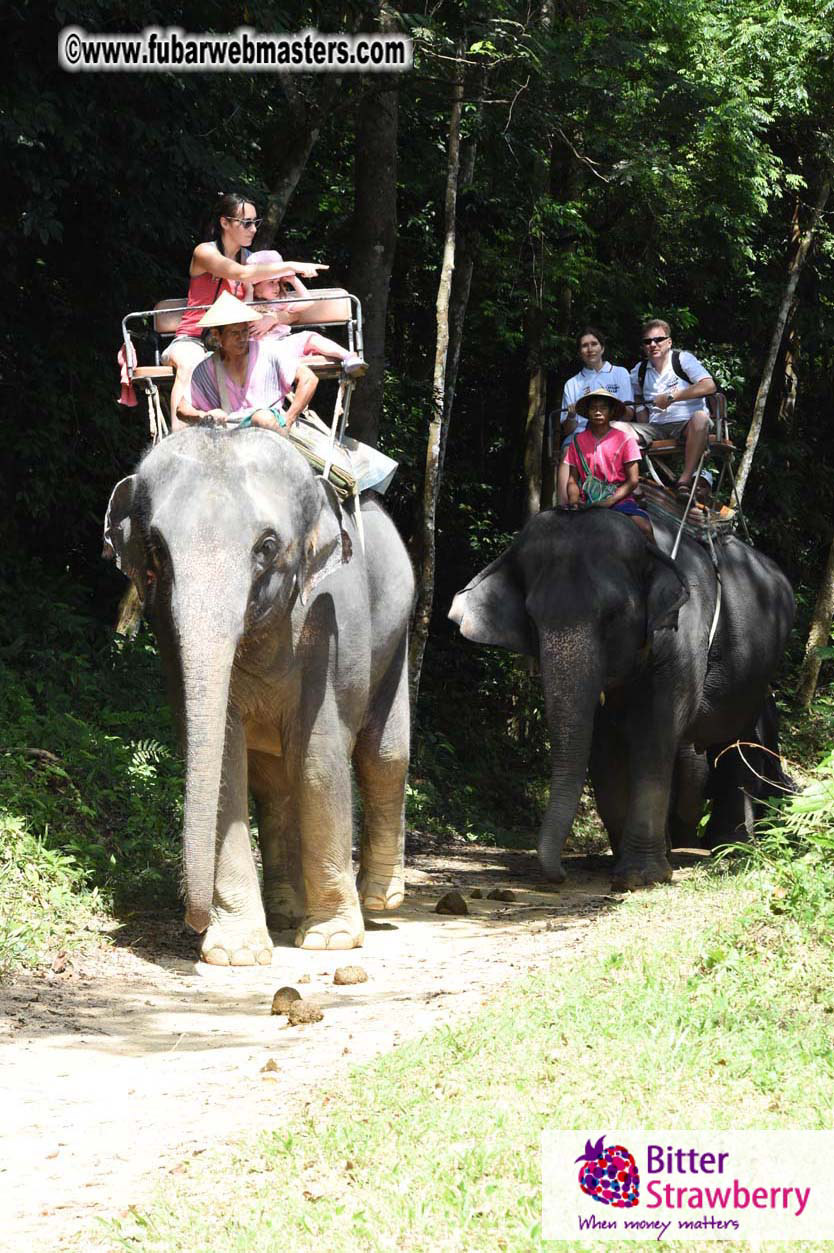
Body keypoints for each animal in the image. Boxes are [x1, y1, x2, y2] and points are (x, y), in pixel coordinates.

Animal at [104, 424, 414, 962]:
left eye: (266, 546)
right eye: (157, 549)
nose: (191, 921)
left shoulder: (328, 623)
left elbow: (318, 760)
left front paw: (330, 940)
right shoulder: (168, 632)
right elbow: (228, 763)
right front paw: (235, 952)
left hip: (397, 633)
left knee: (384, 756)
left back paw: (379, 900)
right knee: (274, 783)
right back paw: (287, 912)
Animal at [449, 507, 794, 891]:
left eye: (612, 615)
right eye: (532, 619)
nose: (560, 875)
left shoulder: (683, 635)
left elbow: (655, 732)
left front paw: (640, 877)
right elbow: (603, 745)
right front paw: (620, 865)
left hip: (757, 674)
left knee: (738, 738)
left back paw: (731, 849)